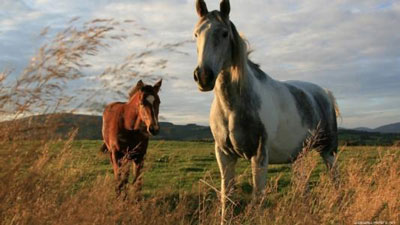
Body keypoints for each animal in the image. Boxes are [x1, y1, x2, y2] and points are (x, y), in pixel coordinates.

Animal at [192, 0, 340, 221]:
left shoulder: (260, 155)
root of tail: (325, 93)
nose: (203, 76)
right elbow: (227, 199)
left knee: (335, 179)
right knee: (303, 186)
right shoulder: (224, 155)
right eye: (196, 34)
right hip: (299, 156)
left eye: (225, 33)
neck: (231, 108)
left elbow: (258, 199)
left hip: (328, 151)